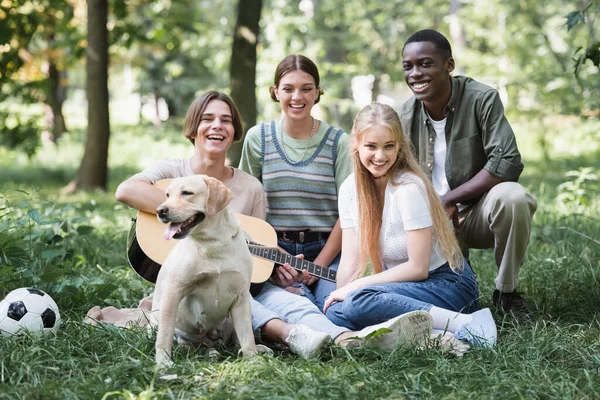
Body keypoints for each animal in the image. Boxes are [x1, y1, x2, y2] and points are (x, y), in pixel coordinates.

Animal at [151, 175, 256, 368]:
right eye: (167, 194)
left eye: (187, 193)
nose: (160, 210)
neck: (214, 244)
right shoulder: (173, 291)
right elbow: (164, 335)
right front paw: (162, 362)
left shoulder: (241, 297)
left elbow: (247, 337)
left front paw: (253, 361)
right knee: (186, 343)